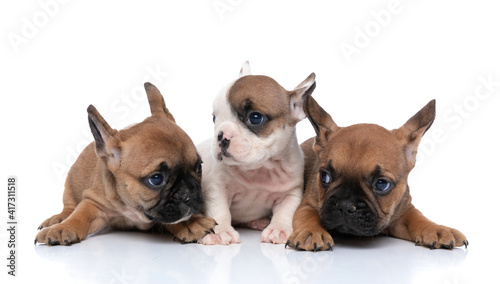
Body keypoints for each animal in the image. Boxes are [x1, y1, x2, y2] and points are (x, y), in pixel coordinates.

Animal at [35, 82, 215, 246]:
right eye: (156, 179)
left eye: (199, 167)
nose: (189, 194)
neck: (133, 208)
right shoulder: (94, 203)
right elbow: (79, 215)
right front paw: (63, 228)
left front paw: (191, 222)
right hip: (70, 187)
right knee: (69, 207)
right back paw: (57, 219)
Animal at [199, 62, 316, 244]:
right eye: (214, 118)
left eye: (255, 117)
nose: (221, 135)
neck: (259, 169)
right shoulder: (217, 188)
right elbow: (220, 211)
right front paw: (221, 232)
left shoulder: (291, 193)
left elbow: (285, 211)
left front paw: (279, 229)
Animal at [288, 96, 466, 251]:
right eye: (325, 176)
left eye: (381, 184)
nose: (345, 205)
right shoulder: (307, 205)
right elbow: (307, 216)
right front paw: (311, 232)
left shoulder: (405, 210)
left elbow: (418, 217)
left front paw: (437, 229)